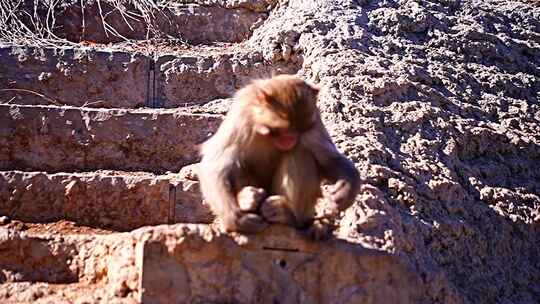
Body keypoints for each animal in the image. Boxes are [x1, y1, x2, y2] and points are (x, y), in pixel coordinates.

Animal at [197, 75, 358, 236]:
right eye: (284, 130)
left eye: (299, 131)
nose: (291, 139)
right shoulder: (241, 115)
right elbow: (216, 165)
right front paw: (237, 219)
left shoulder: (314, 121)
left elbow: (328, 159)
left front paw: (346, 189)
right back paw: (246, 200)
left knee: (299, 153)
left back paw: (287, 215)